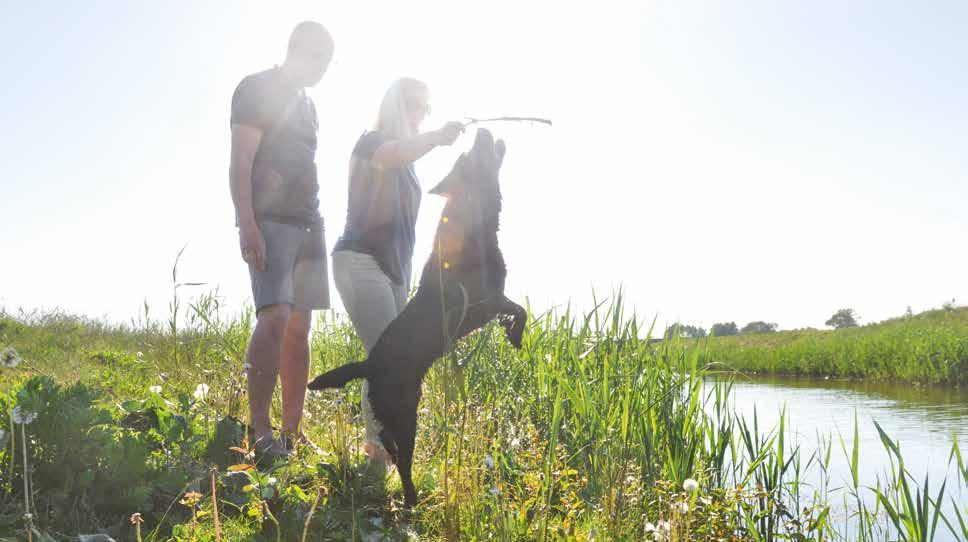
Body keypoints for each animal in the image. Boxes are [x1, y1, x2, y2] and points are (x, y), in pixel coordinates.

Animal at [310, 129, 524, 510]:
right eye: (470, 155)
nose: (482, 131)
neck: (471, 218)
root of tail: (369, 364)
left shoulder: (491, 301)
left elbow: (517, 309)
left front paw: (512, 332)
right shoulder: (485, 302)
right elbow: (520, 309)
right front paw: (516, 334)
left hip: (392, 412)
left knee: (390, 446)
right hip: (405, 414)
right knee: (404, 460)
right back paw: (412, 499)